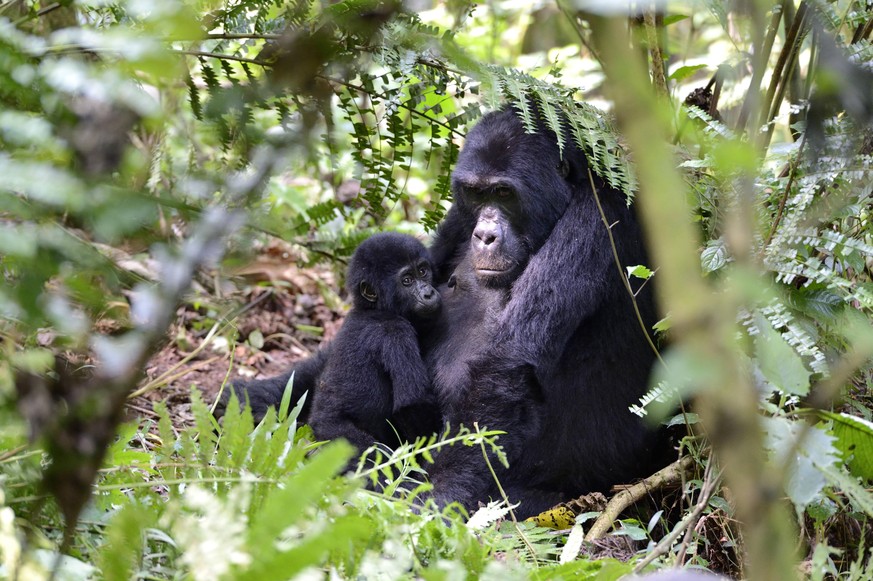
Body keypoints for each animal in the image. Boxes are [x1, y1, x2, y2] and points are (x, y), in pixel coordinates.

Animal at [308, 231, 442, 458]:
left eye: (423, 271)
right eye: (407, 280)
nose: (428, 293)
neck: (373, 309)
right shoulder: (394, 332)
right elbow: (412, 403)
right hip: (337, 436)